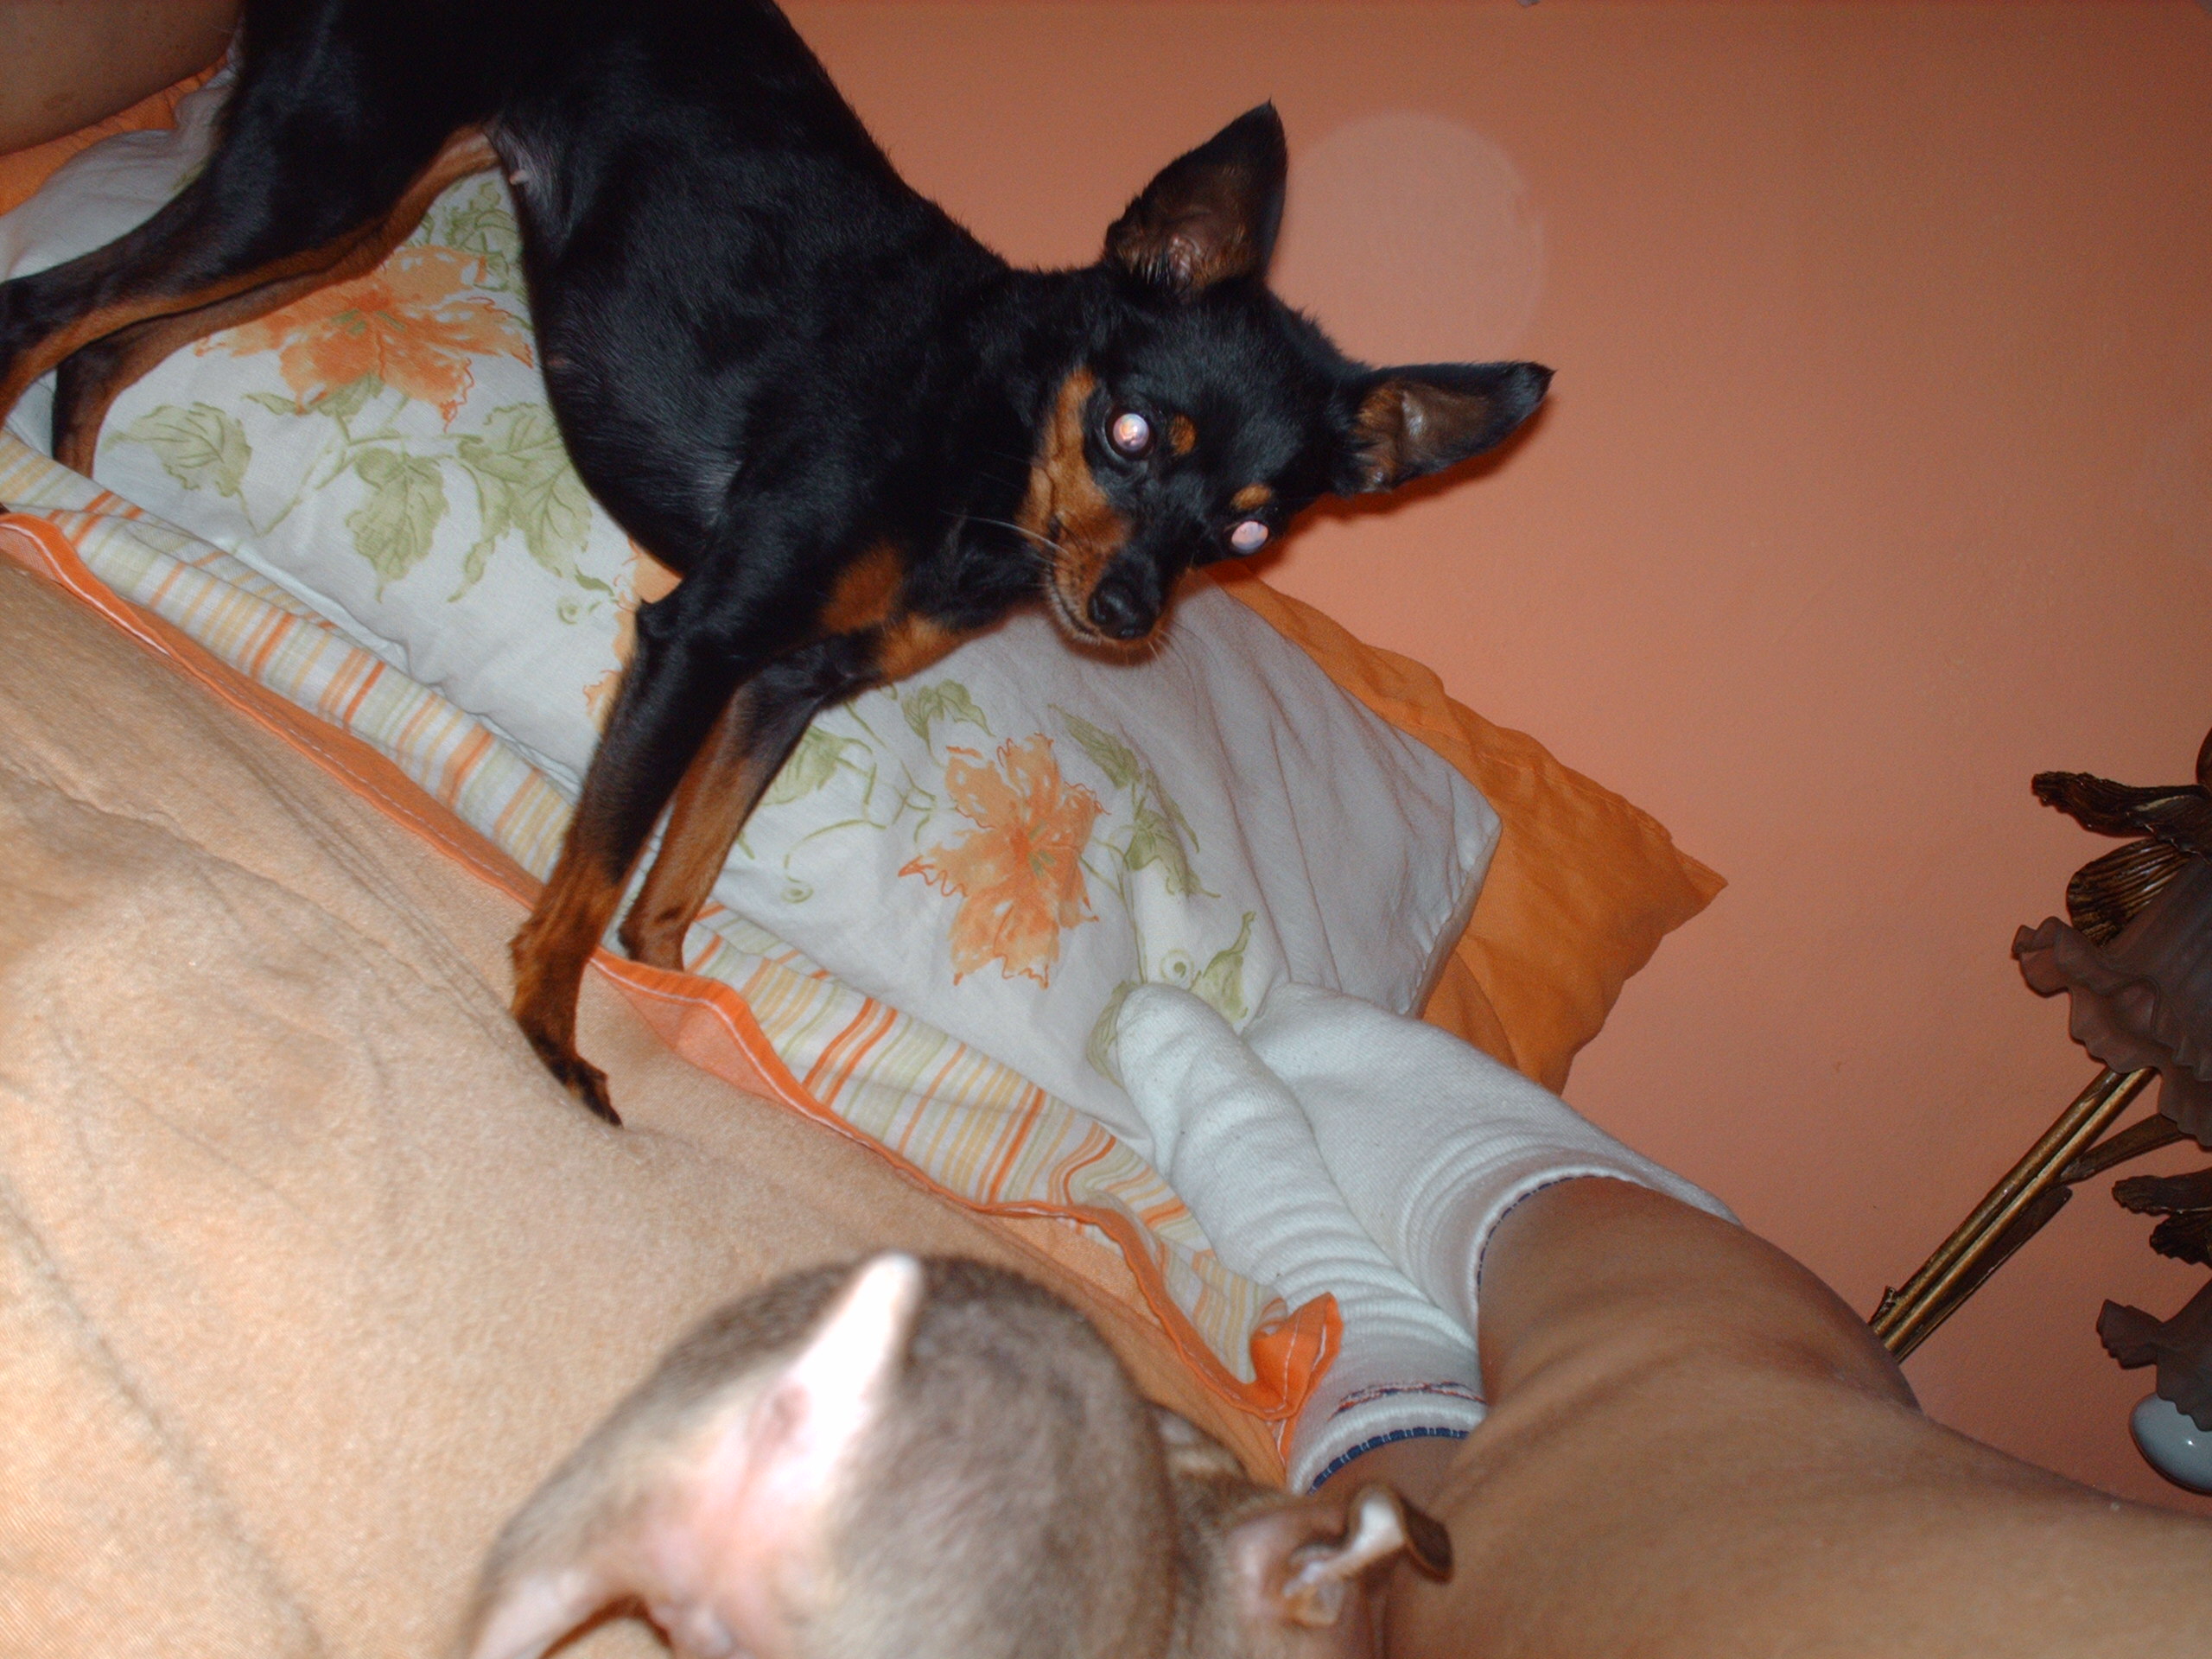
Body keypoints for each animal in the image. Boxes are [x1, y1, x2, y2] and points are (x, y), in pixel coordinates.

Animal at [0, 0, 1551, 1123]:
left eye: (1248, 532)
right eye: (1126, 430)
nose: (1121, 611)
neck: (979, 447)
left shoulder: (789, 685)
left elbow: (674, 892)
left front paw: (679, 1004)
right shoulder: (705, 638)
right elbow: (598, 870)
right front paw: (550, 1033)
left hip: (345, 219)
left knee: (104, 344)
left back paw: (86, 508)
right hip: (315, 179)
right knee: (51, 304)